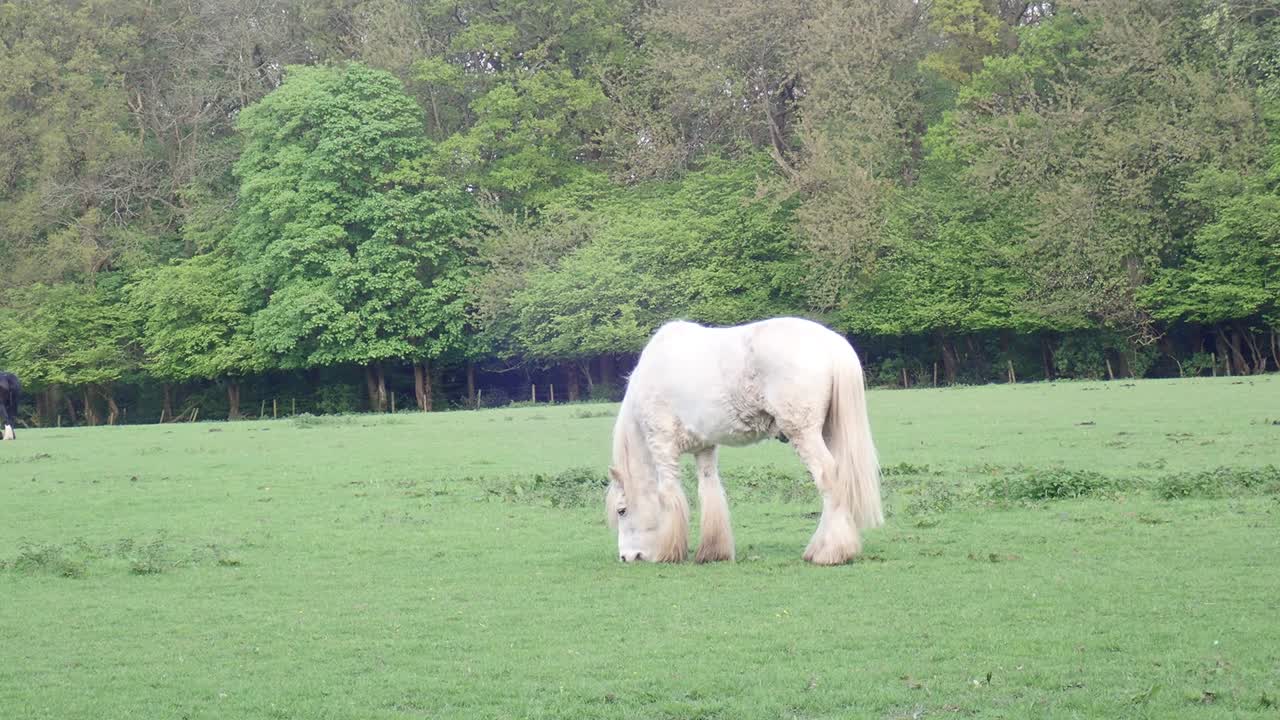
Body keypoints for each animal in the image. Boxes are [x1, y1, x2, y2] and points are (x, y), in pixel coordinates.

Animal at [605, 317, 883, 566]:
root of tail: (833, 344)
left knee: (828, 477)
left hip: (805, 434)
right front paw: (713, 552)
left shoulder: (663, 446)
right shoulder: (704, 448)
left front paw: (668, 553)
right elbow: (709, 490)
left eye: (622, 510)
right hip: (828, 432)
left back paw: (830, 552)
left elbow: (669, 494)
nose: (626, 557)